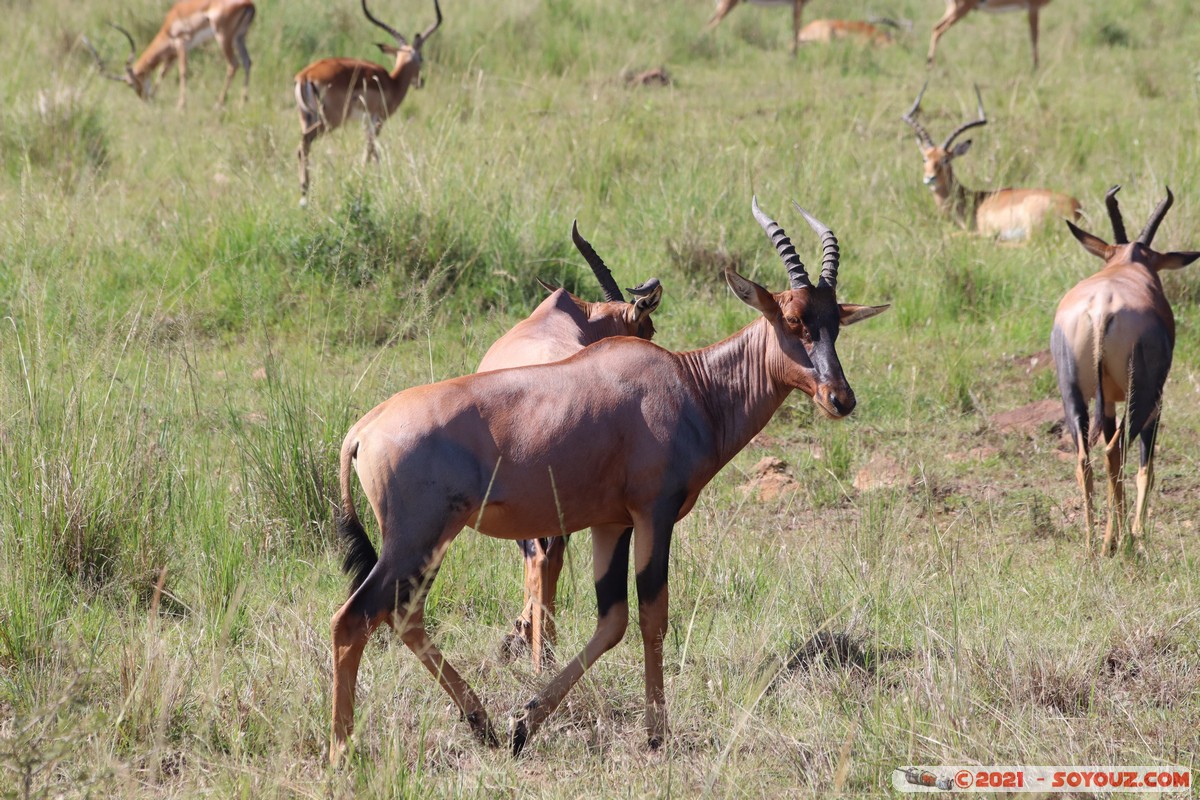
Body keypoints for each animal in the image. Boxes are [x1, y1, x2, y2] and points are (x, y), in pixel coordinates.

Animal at [83, 0, 256, 109]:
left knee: (233, 65)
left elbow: (183, 73)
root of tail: (249, 4)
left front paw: (181, 106)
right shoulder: (172, 54)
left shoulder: (181, 45)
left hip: (223, 36)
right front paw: (154, 96)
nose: (144, 98)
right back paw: (242, 103)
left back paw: (219, 104)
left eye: (130, 84)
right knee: (247, 62)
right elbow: (162, 73)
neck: (169, 27)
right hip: (239, 37)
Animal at [294, 0, 442, 205]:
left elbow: (370, 150)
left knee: (303, 147)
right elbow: (371, 151)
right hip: (329, 121)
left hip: (306, 117)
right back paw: (304, 194)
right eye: (421, 58)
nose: (421, 81)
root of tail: (305, 75)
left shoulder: (365, 122)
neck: (392, 82)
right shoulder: (377, 120)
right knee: (304, 142)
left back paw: (304, 193)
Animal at [1051, 186, 1198, 556]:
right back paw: (1113, 542)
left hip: (1072, 394)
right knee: (1114, 452)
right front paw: (1137, 533)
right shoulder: (1157, 404)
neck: (1128, 264)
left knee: (1085, 458)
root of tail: (1103, 306)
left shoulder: (1107, 404)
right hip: (1141, 397)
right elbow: (1147, 468)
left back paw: (1092, 543)